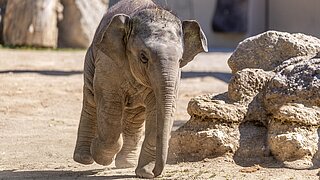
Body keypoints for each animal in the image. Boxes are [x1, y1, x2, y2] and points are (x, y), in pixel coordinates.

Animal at [72, 0, 208, 177]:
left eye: (180, 60)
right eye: (143, 57)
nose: (156, 172)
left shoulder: (176, 77)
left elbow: (158, 111)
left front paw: (144, 173)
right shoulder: (108, 63)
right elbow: (110, 105)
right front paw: (102, 157)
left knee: (135, 116)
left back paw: (126, 163)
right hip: (91, 58)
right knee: (91, 101)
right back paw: (84, 158)